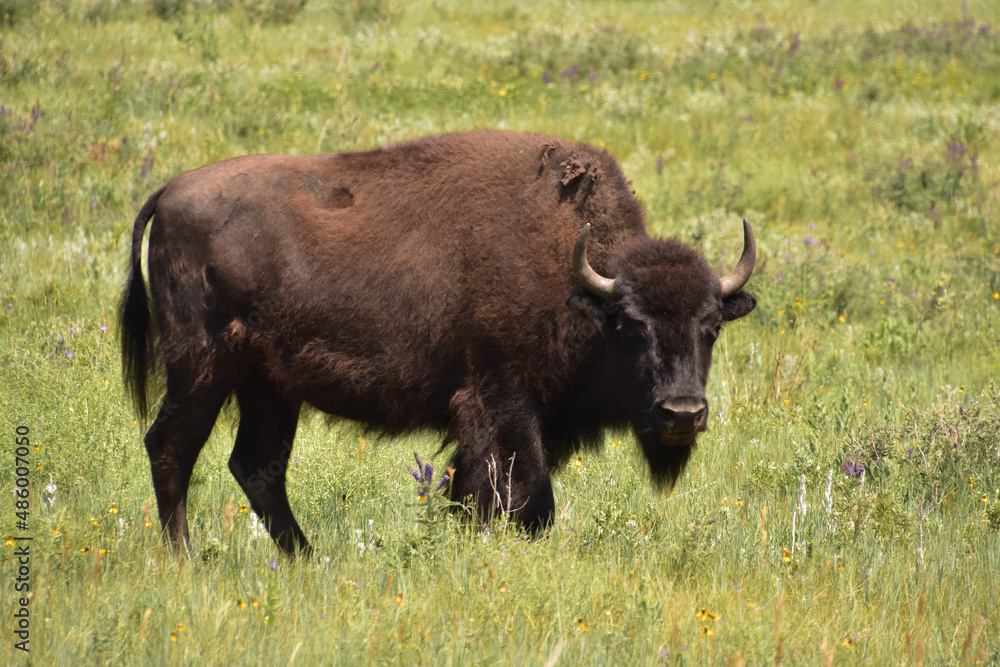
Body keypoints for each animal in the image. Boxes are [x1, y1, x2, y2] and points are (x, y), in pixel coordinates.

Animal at [117, 128, 752, 556]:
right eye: (630, 324)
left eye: (711, 327)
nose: (682, 413)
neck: (579, 284)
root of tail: (168, 191)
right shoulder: (504, 398)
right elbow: (526, 495)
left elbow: (471, 492)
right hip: (201, 367)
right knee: (171, 448)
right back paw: (186, 559)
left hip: (269, 386)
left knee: (256, 467)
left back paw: (308, 559)